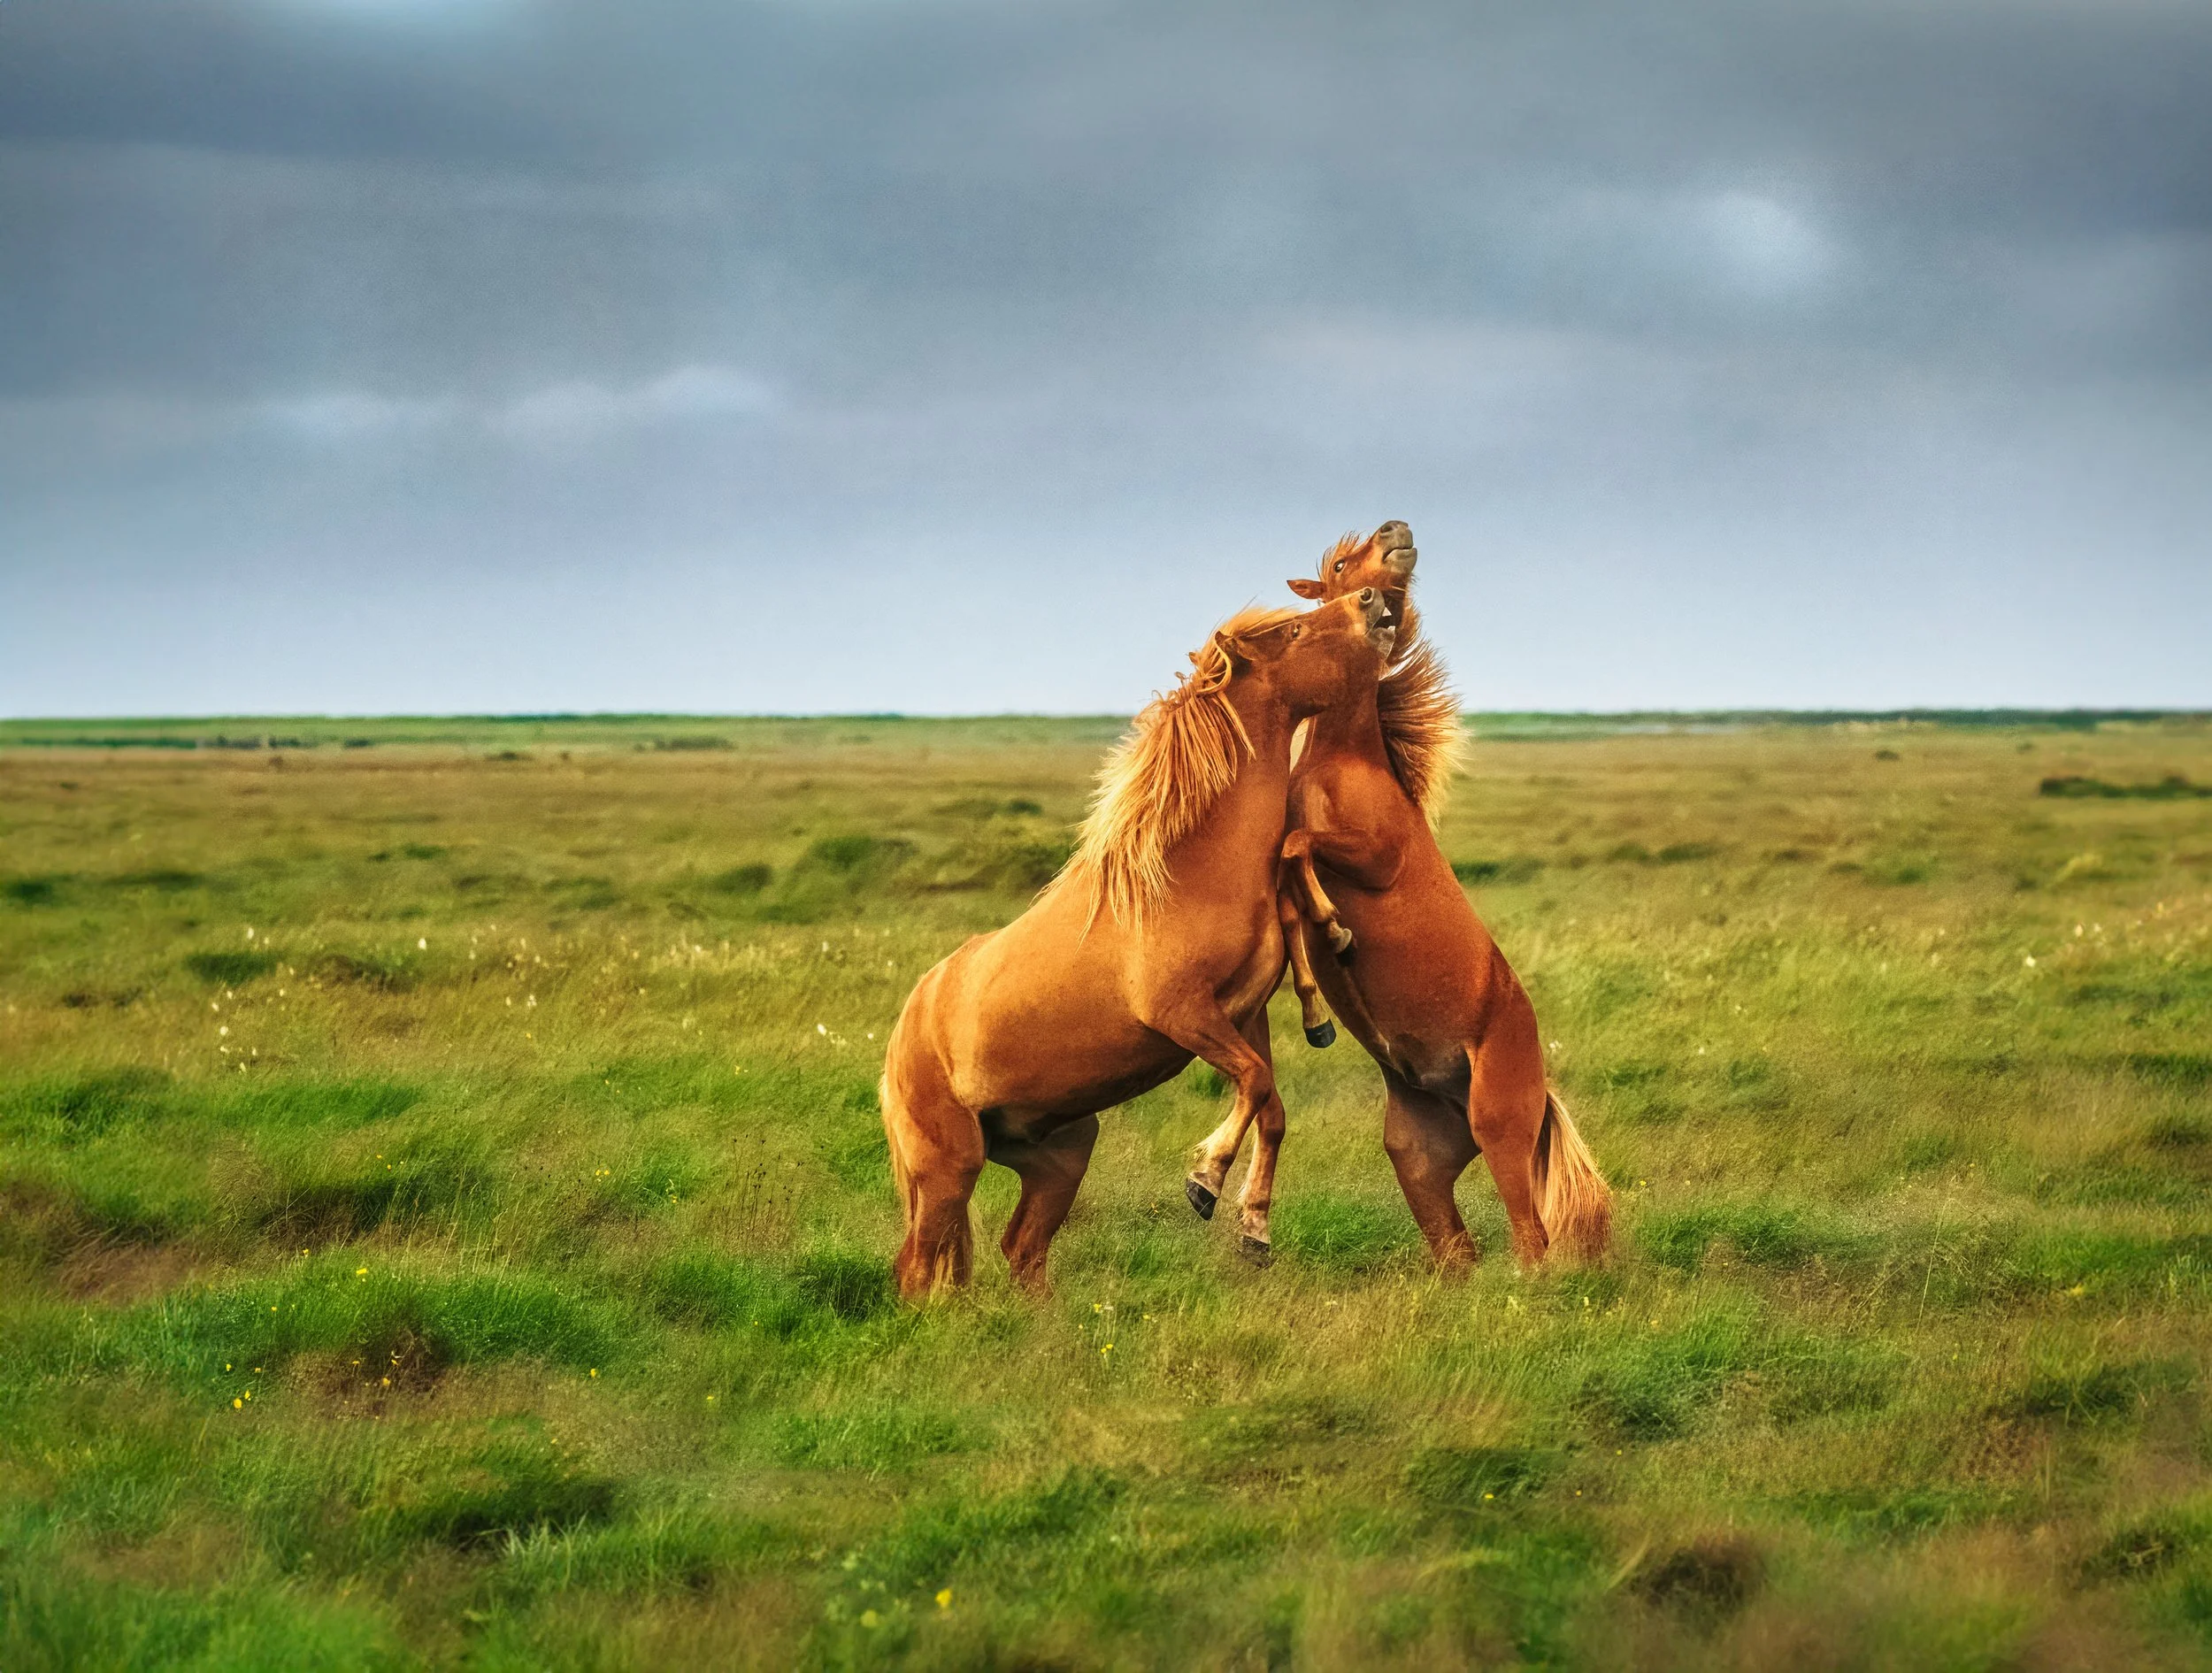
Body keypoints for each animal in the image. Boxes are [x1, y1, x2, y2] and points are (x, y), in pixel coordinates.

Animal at [880, 587, 1398, 1298]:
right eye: (1294, 630)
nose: (1372, 601)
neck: (1187, 874)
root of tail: (903, 1037)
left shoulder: (1245, 1015)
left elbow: (1269, 1104)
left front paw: (1253, 1228)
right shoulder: (1182, 1014)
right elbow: (1256, 1083)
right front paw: (1204, 1180)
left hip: (1061, 1154)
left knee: (1023, 1250)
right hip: (948, 1166)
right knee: (917, 1264)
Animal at [1186, 521, 1612, 1268]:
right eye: (1337, 563)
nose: (1397, 532)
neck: (1344, 759)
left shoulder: (1378, 857)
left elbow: (1299, 848)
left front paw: (1336, 930)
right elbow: (1288, 876)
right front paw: (1317, 990)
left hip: (1501, 1132)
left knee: (1531, 1241)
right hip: (1419, 1164)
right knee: (1458, 1254)